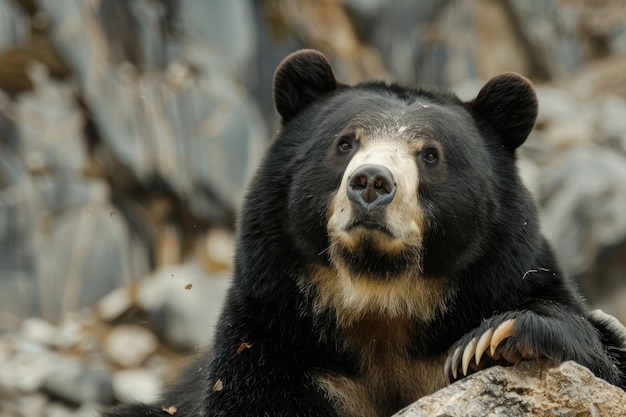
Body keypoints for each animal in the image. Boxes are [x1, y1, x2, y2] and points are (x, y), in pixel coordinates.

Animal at [103, 49, 624, 416]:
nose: (371, 182)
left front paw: (495, 337)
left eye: (430, 155)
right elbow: (253, 397)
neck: (381, 301)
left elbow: (603, 353)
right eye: (345, 143)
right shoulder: (279, 344)